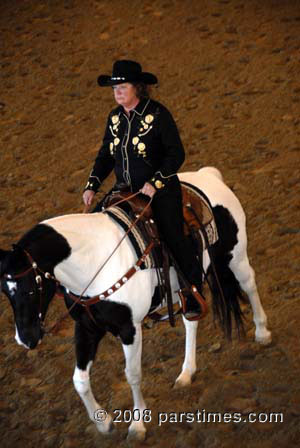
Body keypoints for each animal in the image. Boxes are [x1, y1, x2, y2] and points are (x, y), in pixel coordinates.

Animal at [0, 167, 272, 440]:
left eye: (31, 288)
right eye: (6, 292)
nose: (25, 339)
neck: (94, 261)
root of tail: (208, 174)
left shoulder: (129, 328)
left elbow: (132, 375)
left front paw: (138, 424)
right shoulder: (87, 327)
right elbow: (80, 380)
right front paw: (104, 423)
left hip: (235, 255)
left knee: (249, 284)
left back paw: (262, 333)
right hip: (187, 288)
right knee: (191, 319)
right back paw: (186, 373)